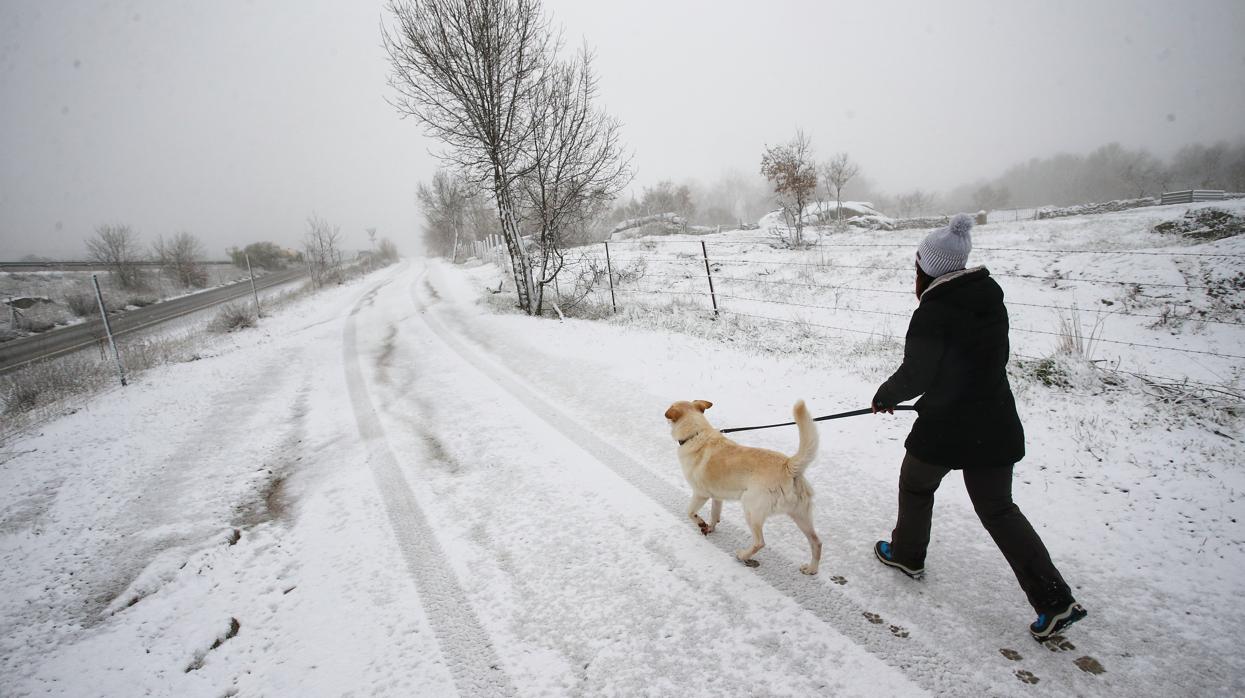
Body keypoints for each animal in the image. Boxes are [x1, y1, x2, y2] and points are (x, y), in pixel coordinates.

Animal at [667, 398, 821, 572]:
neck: (696, 434)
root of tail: (788, 465)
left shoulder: (700, 494)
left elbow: (690, 512)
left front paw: (701, 524)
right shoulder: (717, 497)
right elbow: (715, 515)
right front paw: (710, 527)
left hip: (750, 509)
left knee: (760, 542)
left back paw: (742, 555)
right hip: (801, 515)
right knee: (817, 542)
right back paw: (811, 570)